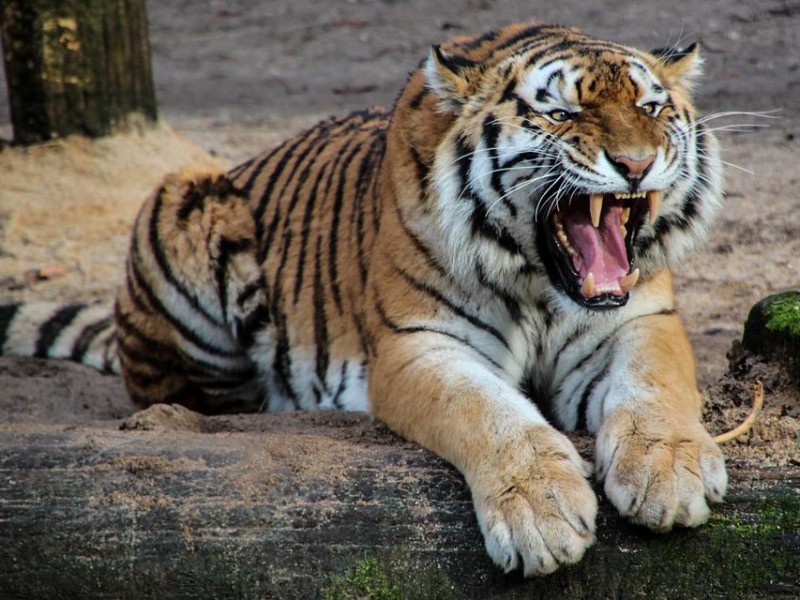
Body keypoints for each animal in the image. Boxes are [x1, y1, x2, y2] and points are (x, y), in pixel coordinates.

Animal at [1, 21, 724, 576]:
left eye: (652, 109)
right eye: (561, 112)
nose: (636, 164)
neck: (539, 283)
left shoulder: (640, 320)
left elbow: (655, 387)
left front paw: (669, 475)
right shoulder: (419, 345)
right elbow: (490, 413)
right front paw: (540, 514)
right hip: (184, 194)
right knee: (188, 394)